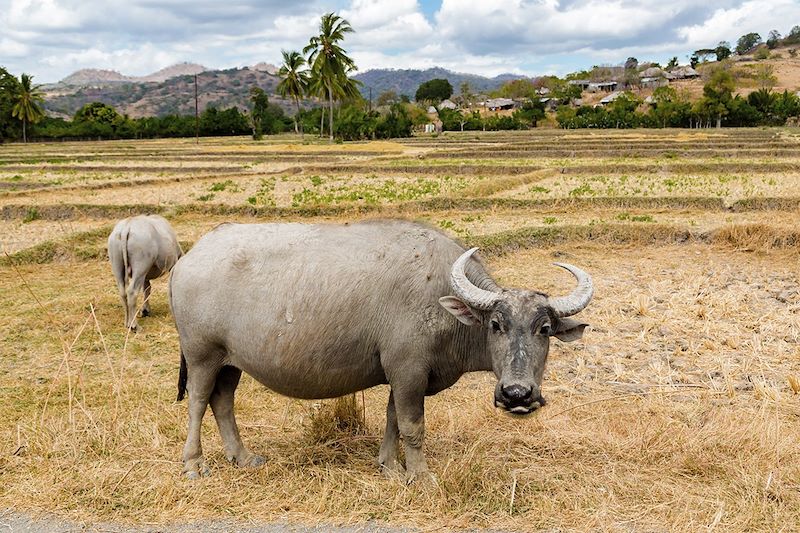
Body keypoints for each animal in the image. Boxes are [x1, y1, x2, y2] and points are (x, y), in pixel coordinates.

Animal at [170, 220, 592, 482]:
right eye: (496, 325)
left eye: (545, 330)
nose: (517, 394)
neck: (441, 299)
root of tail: (187, 259)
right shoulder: (408, 371)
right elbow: (412, 425)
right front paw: (420, 475)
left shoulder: (400, 376)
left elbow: (392, 419)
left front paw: (388, 466)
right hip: (202, 355)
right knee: (198, 402)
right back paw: (194, 464)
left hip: (231, 362)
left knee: (223, 402)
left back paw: (242, 457)